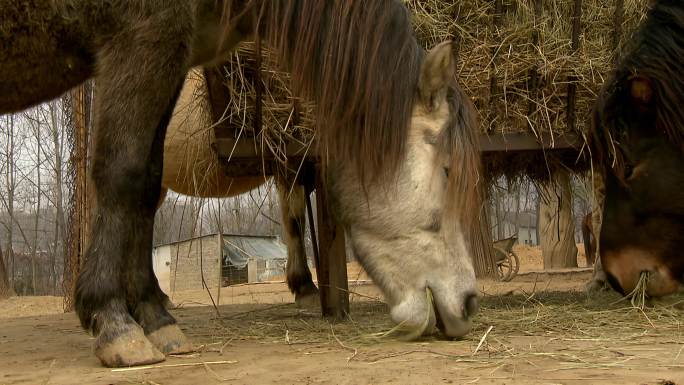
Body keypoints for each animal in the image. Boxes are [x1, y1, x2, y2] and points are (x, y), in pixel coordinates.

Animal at [0, 0, 480, 366]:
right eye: (447, 170)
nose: (468, 302)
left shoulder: (168, 59)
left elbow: (147, 182)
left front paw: (154, 318)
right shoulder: (142, 41)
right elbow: (126, 175)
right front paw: (113, 320)